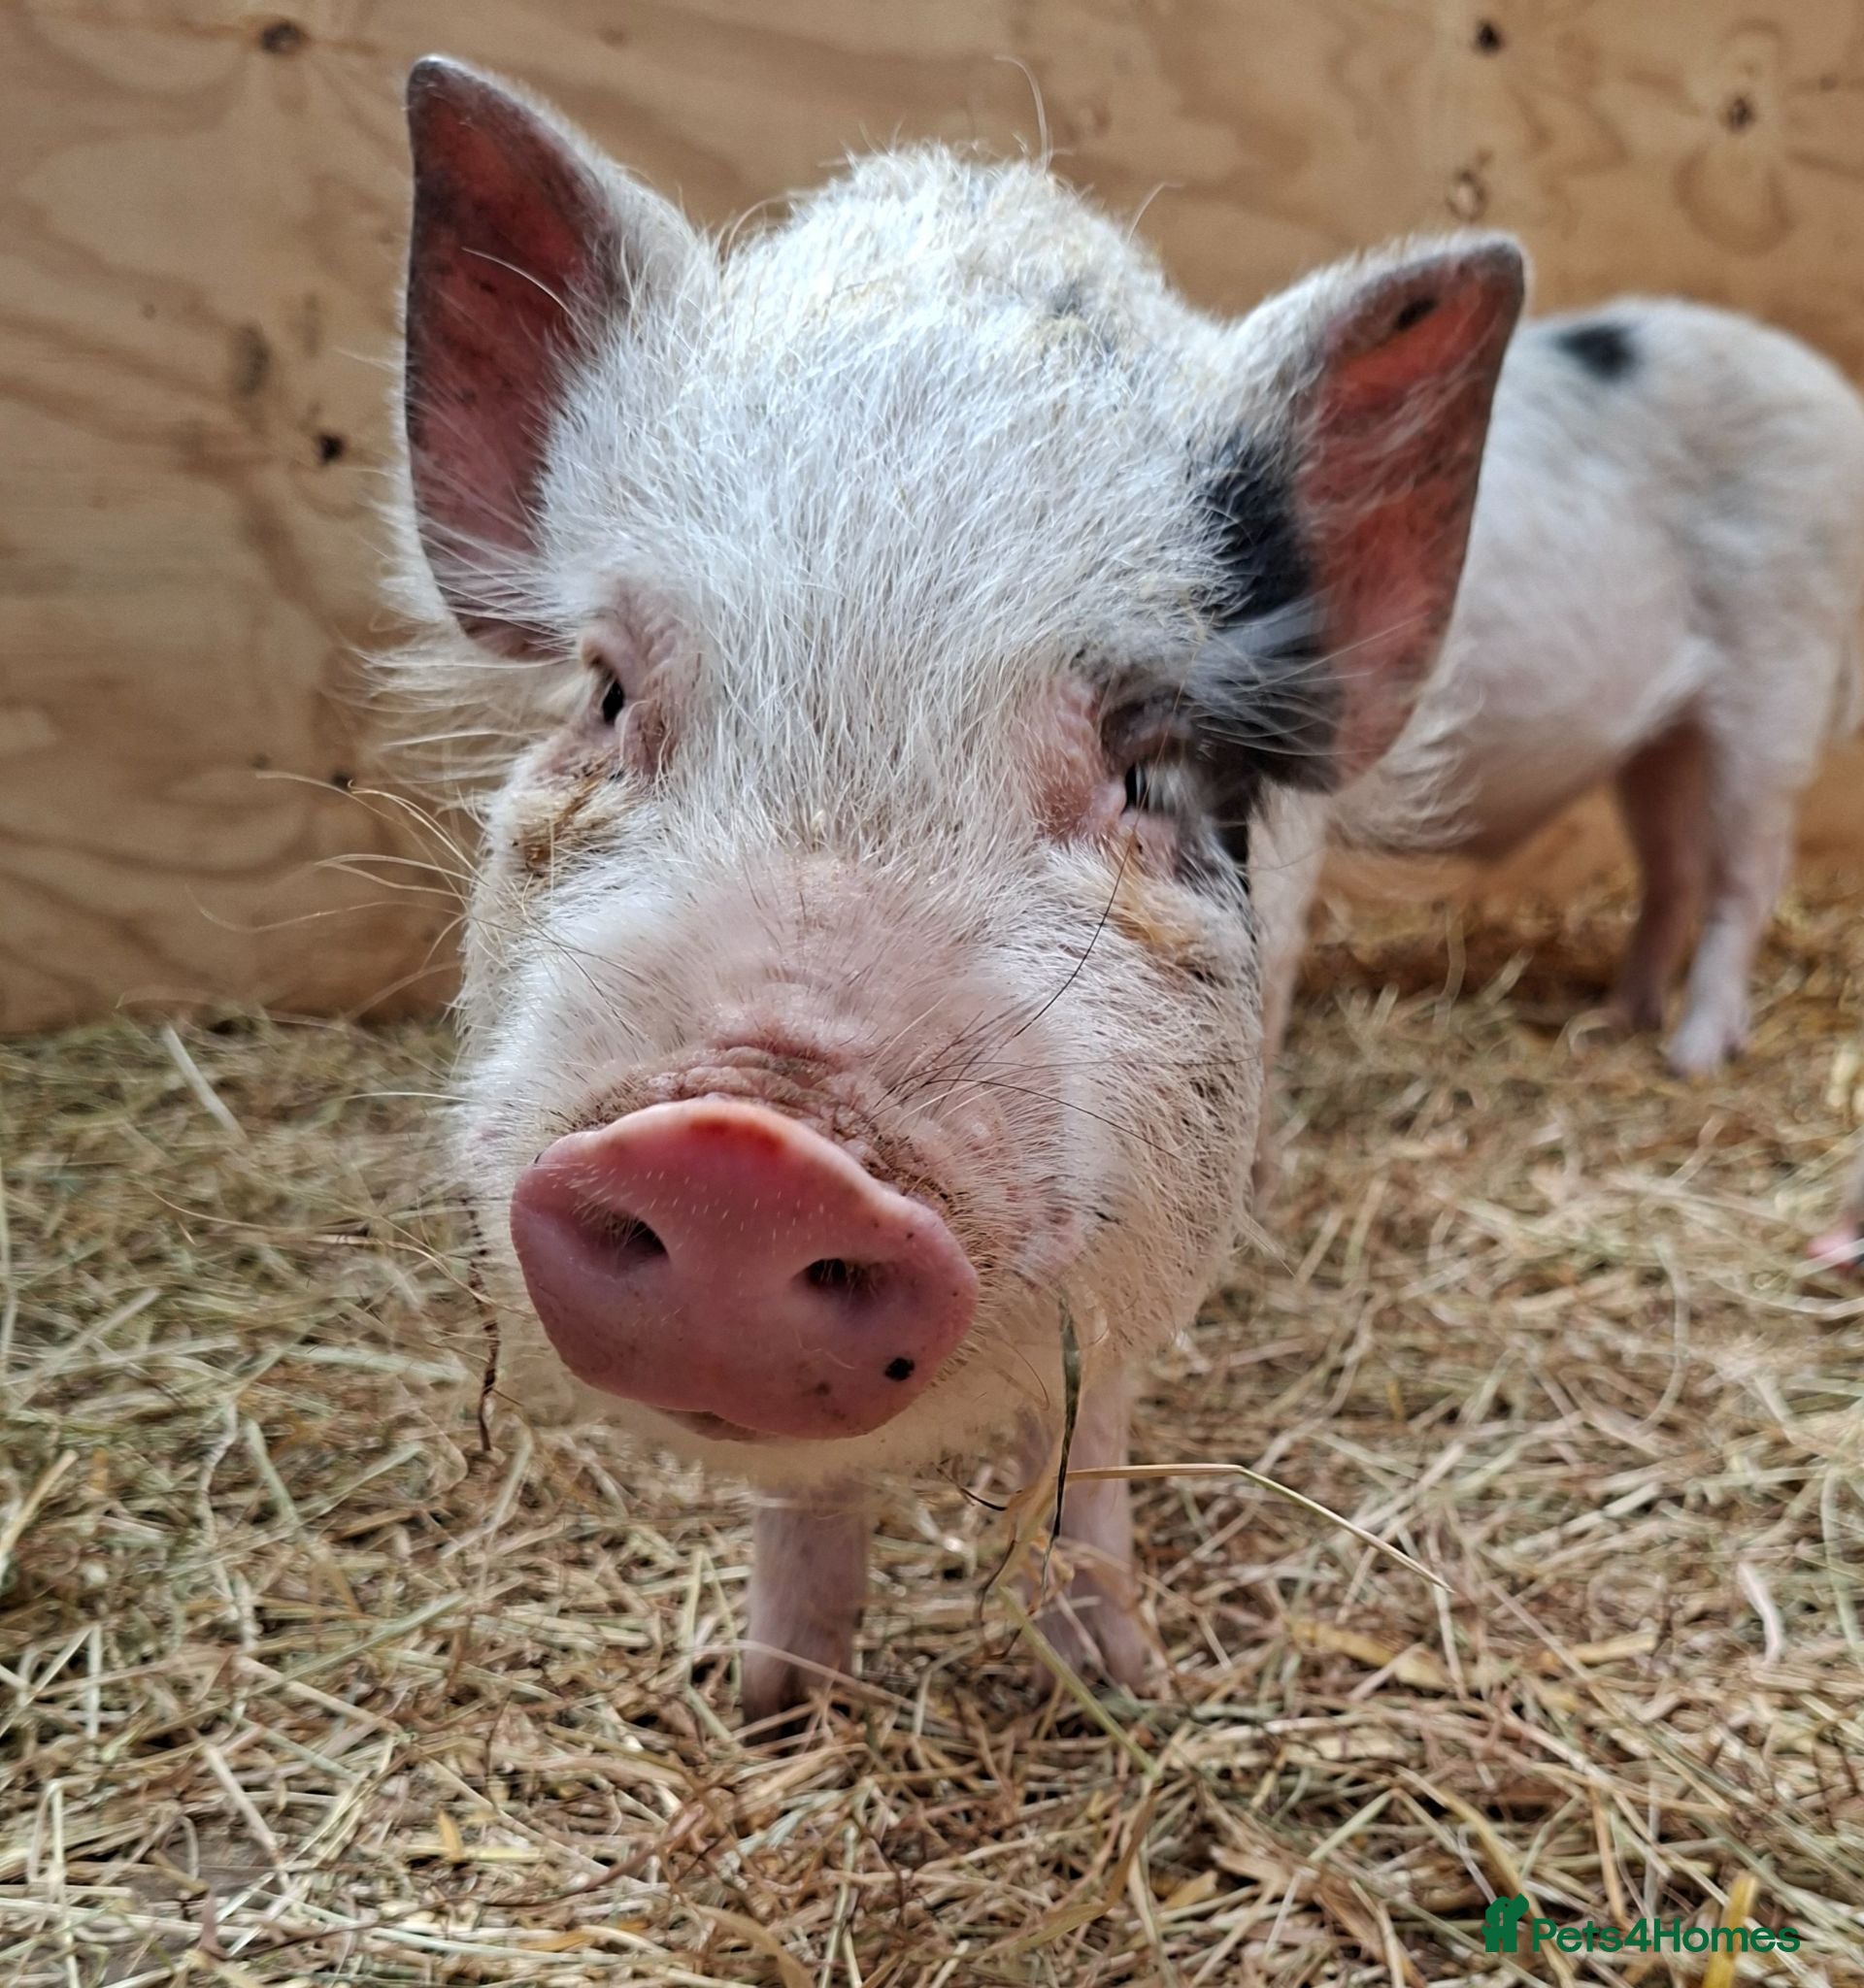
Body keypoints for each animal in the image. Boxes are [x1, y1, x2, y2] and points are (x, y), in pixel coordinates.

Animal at [386, 57, 1522, 1721]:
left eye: (1147, 762)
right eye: (604, 691)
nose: (742, 1144)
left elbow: (1088, 1430)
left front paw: (1117, 1684)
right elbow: (802, 1497)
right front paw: (777, 1705)